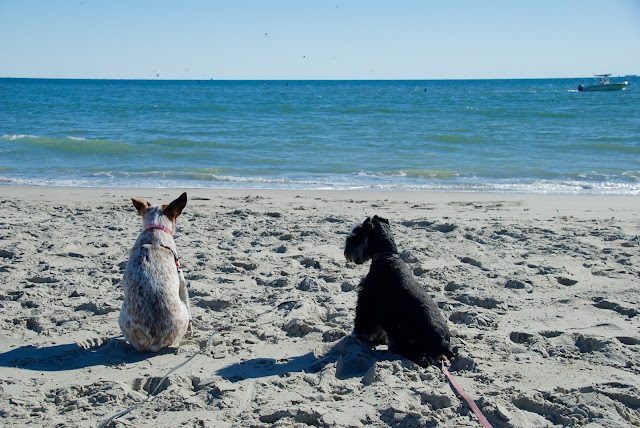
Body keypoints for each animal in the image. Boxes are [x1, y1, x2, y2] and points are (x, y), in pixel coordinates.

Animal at [345, 215, 454, 367]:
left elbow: (364, 322)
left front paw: (359, 336)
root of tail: (445, 346)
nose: (347, 245)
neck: (387, 257)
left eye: (358, 232)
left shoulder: (367, 301)